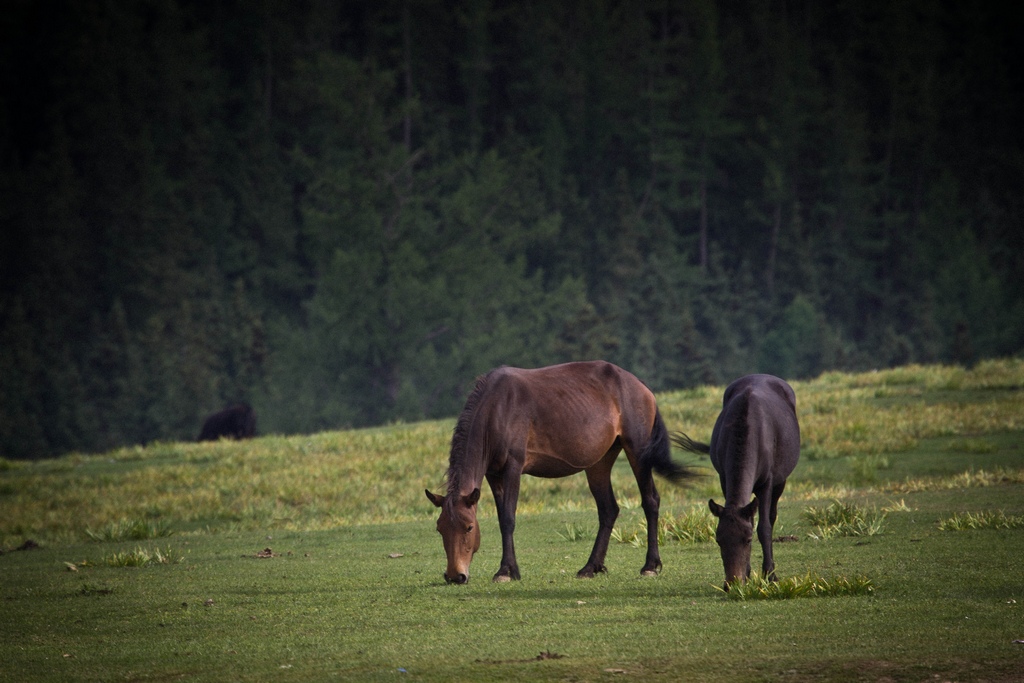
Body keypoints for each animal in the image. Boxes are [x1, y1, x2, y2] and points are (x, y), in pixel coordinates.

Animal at [423, 360, 696, 585]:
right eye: (440, 528)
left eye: (469, 527)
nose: (455, 575)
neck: (497, 409)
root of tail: (642, 387)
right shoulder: (493, 474)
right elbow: (502, 519)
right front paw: (509, 569)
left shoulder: (513, 467)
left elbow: (508, 518)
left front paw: (506, 571)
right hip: (599, 462)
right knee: (608, 509)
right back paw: (590, 567)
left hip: (638, 451)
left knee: (650, 500)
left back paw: (650, 566)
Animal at [675, 374, 802, 589]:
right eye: (719, 540)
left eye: (748, 540)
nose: (732, 583)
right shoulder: (724, 478)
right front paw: (748, 574)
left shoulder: (767, 482)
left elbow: (764, 528)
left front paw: (770, 575)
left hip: (780, 482)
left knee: (771, 516)